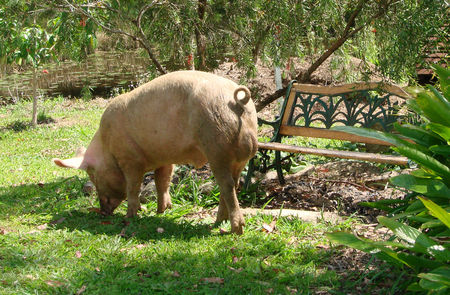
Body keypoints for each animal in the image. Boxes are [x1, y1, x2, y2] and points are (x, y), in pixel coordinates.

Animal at [52, 70, 256, 235]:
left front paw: (131, 216)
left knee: (227, 186)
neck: (107, 146)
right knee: (232, 184)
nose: (102, 211)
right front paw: (162, 211)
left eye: (93, 176)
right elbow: (162, 182)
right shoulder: (164, 158)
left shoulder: (130, 159)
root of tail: (238, 101)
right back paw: (218, 222)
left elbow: (133, 186)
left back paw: (235, 229)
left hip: (216, 147)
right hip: (239, 158)